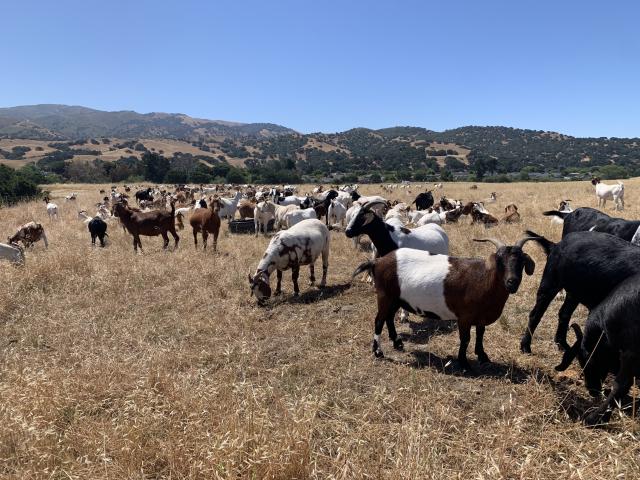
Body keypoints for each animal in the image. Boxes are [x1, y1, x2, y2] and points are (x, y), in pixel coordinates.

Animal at [352, 236, 536, 372]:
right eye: (500, 261)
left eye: (521, 261)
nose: (512, 282)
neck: (484, 279)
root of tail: (378, 261)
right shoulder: (465, 317)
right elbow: (466, 339)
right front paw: (464, 364)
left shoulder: (481, 317)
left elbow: (480, 335)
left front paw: (482, 356)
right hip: (385, 296)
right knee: (379, 320)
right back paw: (378, 352)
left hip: (397, 298)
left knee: (389, 318)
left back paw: (397, 343)